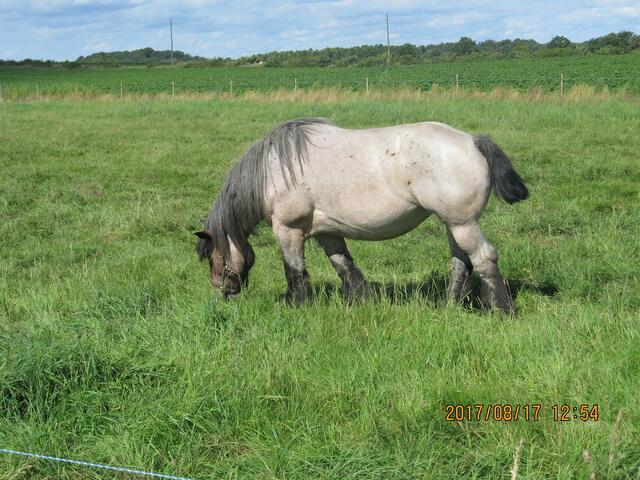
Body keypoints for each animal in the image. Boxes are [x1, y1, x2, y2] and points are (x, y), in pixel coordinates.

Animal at [196, 118, 528, 313]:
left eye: (213, 257)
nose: (224, 292)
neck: (273, 168)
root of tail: (473, 141)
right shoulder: (327, 232)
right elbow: (345, 267)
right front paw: (361, 300)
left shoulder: (288, 231)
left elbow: (295, 271)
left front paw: (297, 305)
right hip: (453, 224)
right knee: (461, 263)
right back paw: (448, 306)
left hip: (462, 224)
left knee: (484, 258)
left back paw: (501, 309)